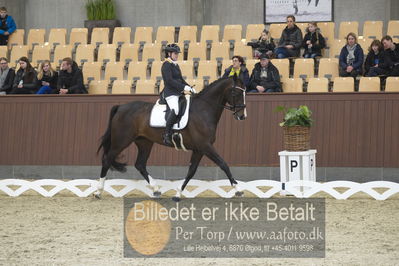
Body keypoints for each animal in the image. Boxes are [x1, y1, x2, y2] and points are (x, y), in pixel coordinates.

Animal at [95, 76, 248, 201]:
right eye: (235, 93)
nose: (242, 116)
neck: (204, 110)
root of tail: (121, 107)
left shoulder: (199, 149)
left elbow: (191, 171)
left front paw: (178, 194)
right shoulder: (205, 146)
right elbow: (223, 164)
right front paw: (238, 189)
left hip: (145, 142)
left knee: (140, 164)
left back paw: (156, 190)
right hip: (121, 141)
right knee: (107, 159)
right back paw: (98, 192)